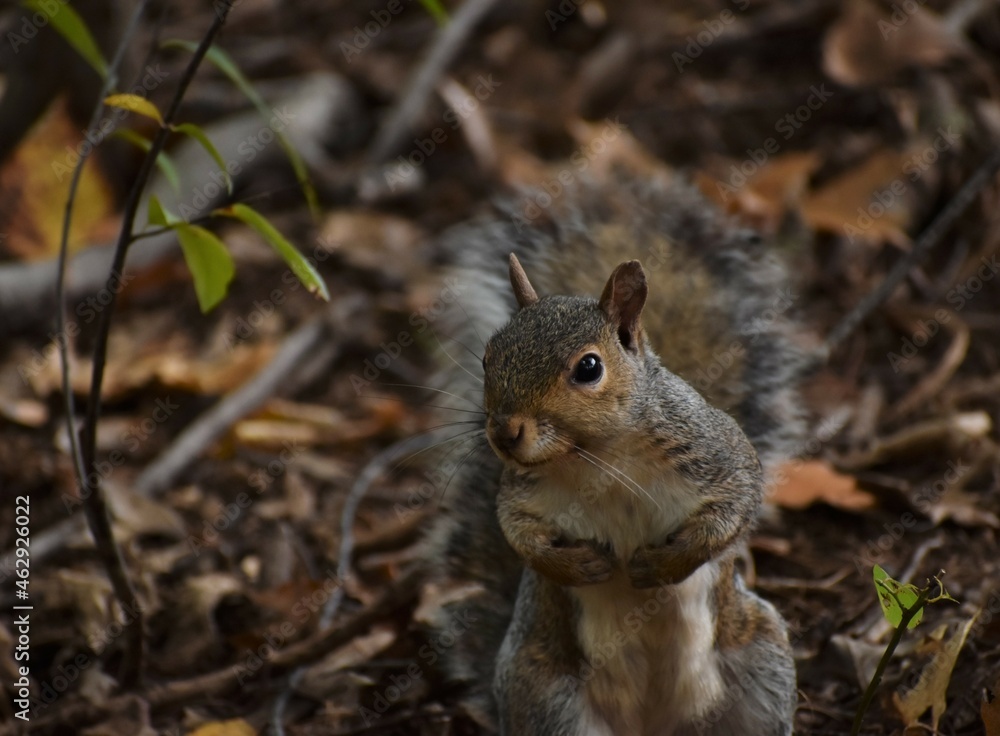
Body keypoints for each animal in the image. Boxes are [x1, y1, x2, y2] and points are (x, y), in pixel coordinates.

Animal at [420, 169, 806, 735]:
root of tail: (654, 727)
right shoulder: (524, 492)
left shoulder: (714, 455)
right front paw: (579, 567)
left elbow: (732, 511)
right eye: (488, 357)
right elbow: (519, 534)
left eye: (589, 367)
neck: (597, 457)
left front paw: (660, 567)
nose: (503, 433)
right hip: (549, 700)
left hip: (763, 660)